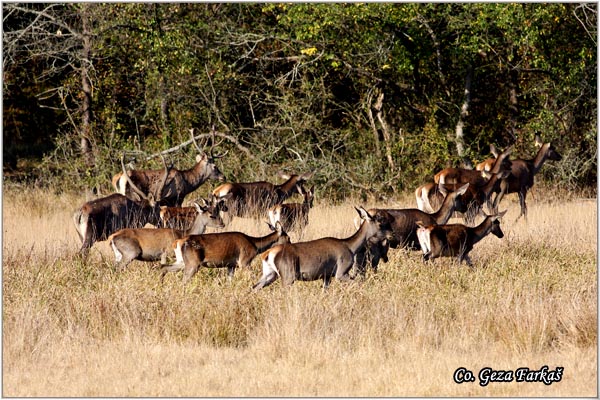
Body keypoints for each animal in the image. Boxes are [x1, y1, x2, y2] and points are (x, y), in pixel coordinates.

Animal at [159, 220, 290, 282]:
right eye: (288, 238)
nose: (290, 245)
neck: (255, 246)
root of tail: (178, 242)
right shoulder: (244, 261)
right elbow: (253, 276)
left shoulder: (231, 265)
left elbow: (229, 281)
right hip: (193, 263)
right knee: (184, 280)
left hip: (182, 261)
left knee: (164, 267)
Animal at [252, 206, 394, 290]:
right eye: (380, 220)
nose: (392, 234)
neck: (349, 246)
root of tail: (268, 253)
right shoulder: (340, 273)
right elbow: (359, 282)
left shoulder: (326, 276)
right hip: (288, 277)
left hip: (269, 275)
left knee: (254, 287)